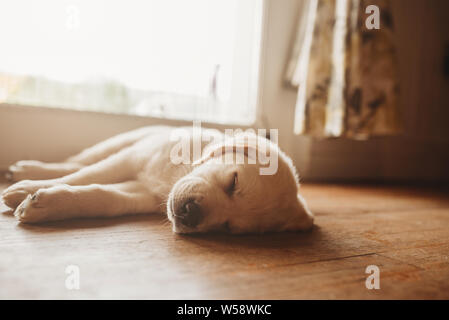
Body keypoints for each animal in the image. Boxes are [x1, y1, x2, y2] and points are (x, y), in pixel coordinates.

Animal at [1, 126, 314, 234]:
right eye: (233, 182)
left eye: (228, 227)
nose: (191, 214)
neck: (179, 172)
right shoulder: (131, 158)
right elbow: (87, 175)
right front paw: (28, 190)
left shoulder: (145, 194)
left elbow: (106, 197)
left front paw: (49, 204)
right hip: (123, 142)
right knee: (79, 161)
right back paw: (27, 171)